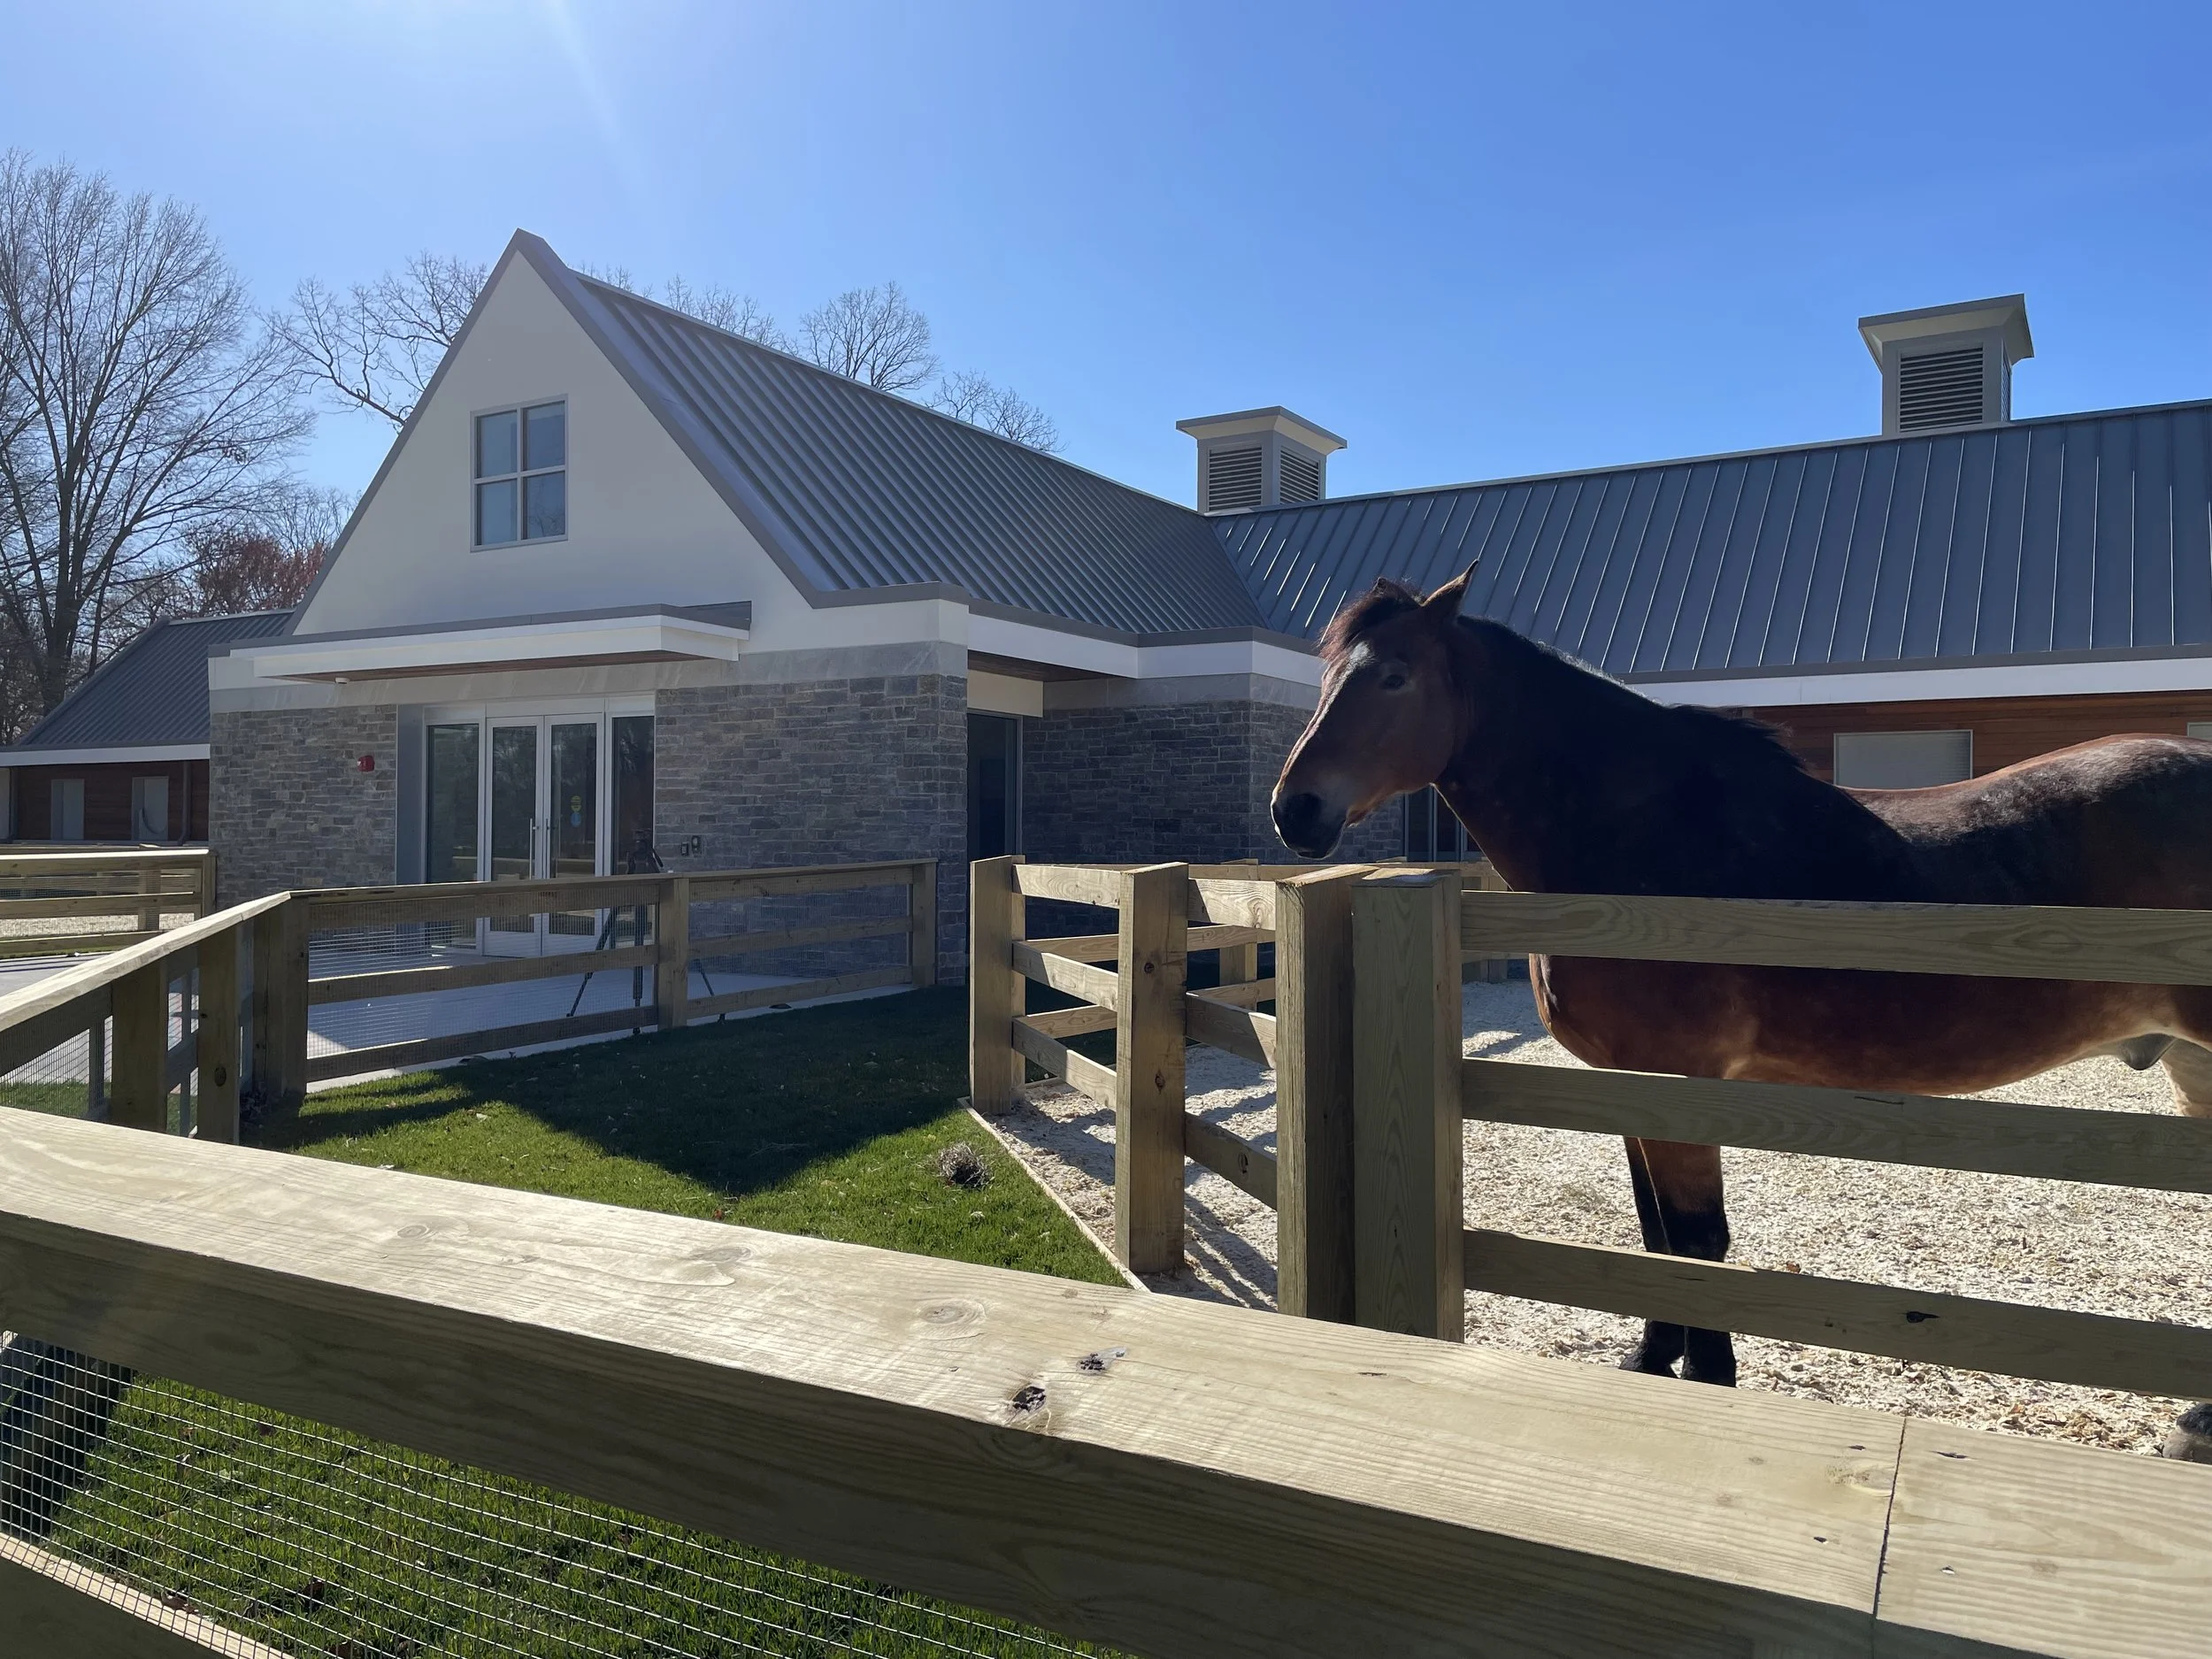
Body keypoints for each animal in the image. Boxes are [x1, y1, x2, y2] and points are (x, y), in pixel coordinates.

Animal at [1270, 562, 2212, 1460]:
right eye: (1328, 679)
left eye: (1394, 675)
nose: (1295, 809)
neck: (1642, 843)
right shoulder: (1630, 1084)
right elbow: (1655, 1237)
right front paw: (1653, 1360)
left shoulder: (1684, 1082)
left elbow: (1698, 1242)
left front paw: (1712, 1379)